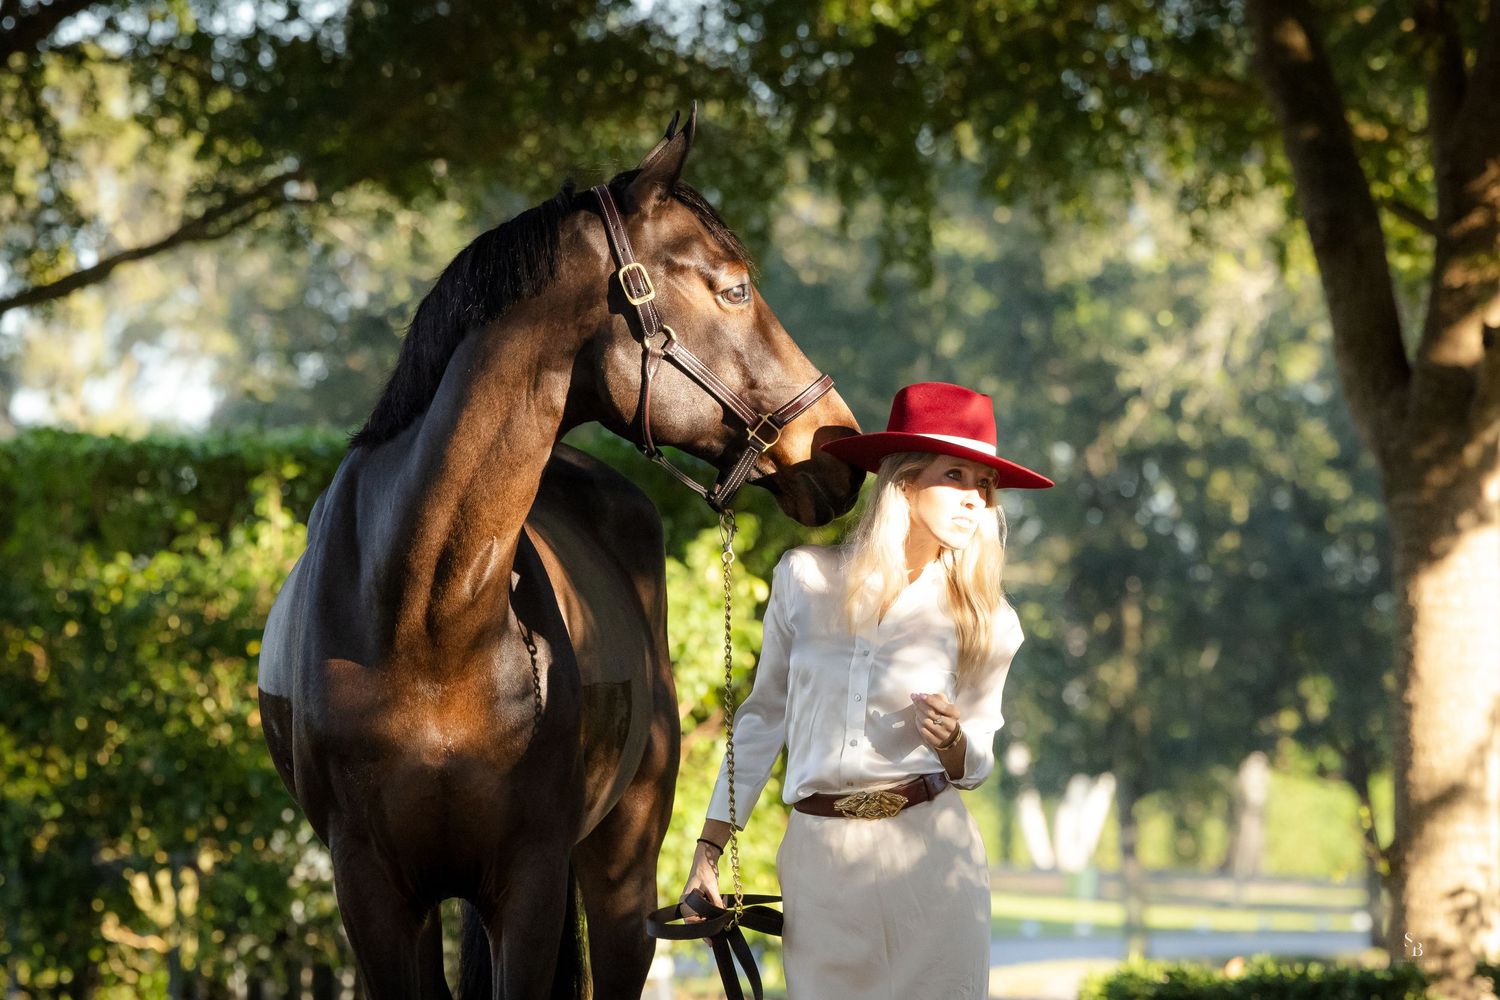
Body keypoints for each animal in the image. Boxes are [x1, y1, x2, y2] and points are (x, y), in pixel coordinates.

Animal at [256, 107, 864, 999]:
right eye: (733, 287)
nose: (838, 444)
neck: (420, 616)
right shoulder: (371, 894)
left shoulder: (532, 881)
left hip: (621, 881)